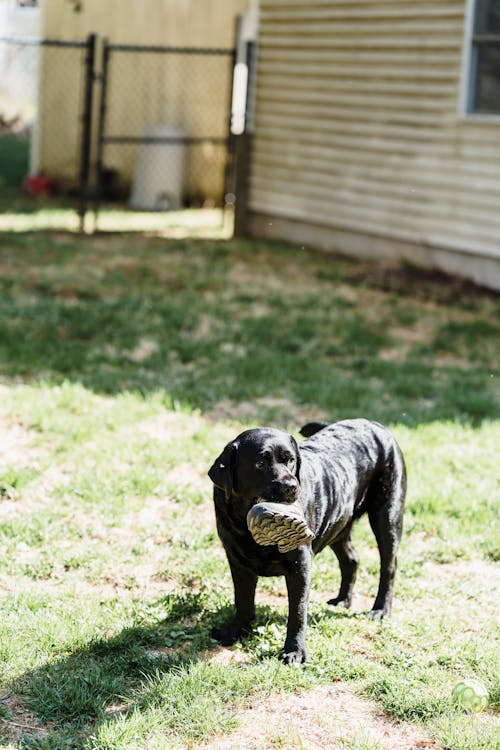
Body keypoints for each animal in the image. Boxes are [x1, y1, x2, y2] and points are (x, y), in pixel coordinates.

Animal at [207, 420, 406, 668]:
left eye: (290, 460)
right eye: (260, 463)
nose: (291, 486)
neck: (247, 528)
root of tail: (374, 423)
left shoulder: (300, 565)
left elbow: (298, 611)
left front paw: (294, 652)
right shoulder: (238, 562)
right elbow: (242, 602)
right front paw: (234, 632)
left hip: (387, 516)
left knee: (388, 566)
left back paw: (380, 610)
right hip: (339, 524)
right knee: (351, 559)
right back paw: (342, 600)